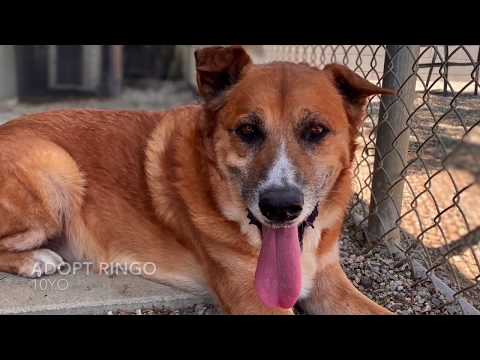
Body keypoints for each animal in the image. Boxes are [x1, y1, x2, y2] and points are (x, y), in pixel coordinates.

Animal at [0, 46, 394, 314]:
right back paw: (35, 260)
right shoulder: (255, 297)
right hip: (57, 171)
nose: (280, 208)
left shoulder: (330, 281)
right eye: (248, 131)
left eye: (316, 131)